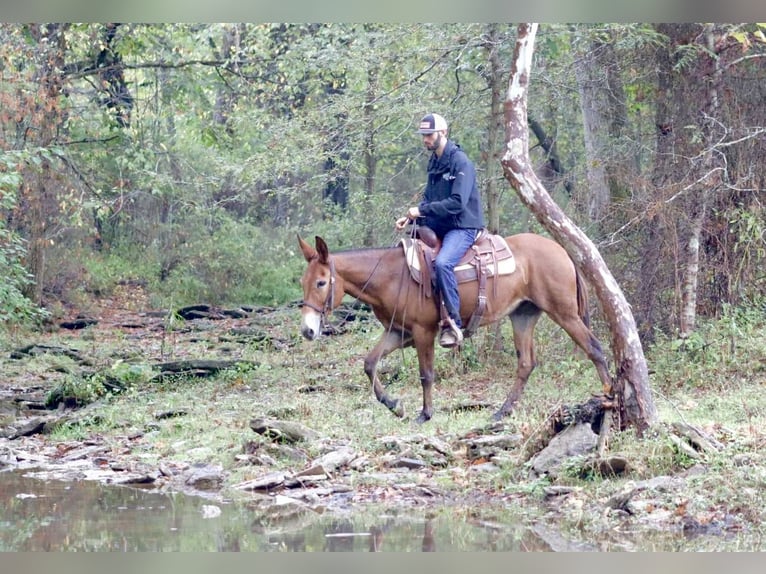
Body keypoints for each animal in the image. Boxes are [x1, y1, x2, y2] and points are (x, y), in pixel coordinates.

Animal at [297, 232, 613, 424]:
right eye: (304, 281)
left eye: (321, 282)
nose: (308, 331)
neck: (391, 277)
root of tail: (562, 250)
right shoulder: (399, 332)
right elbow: (370, 363)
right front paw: (393, 404)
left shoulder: (423, 331)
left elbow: (425, 374)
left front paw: (425, 413)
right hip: (523, 315)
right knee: (526, 363)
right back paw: (503, 411)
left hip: (565, 313)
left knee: (594, 348)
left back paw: (610, 394)